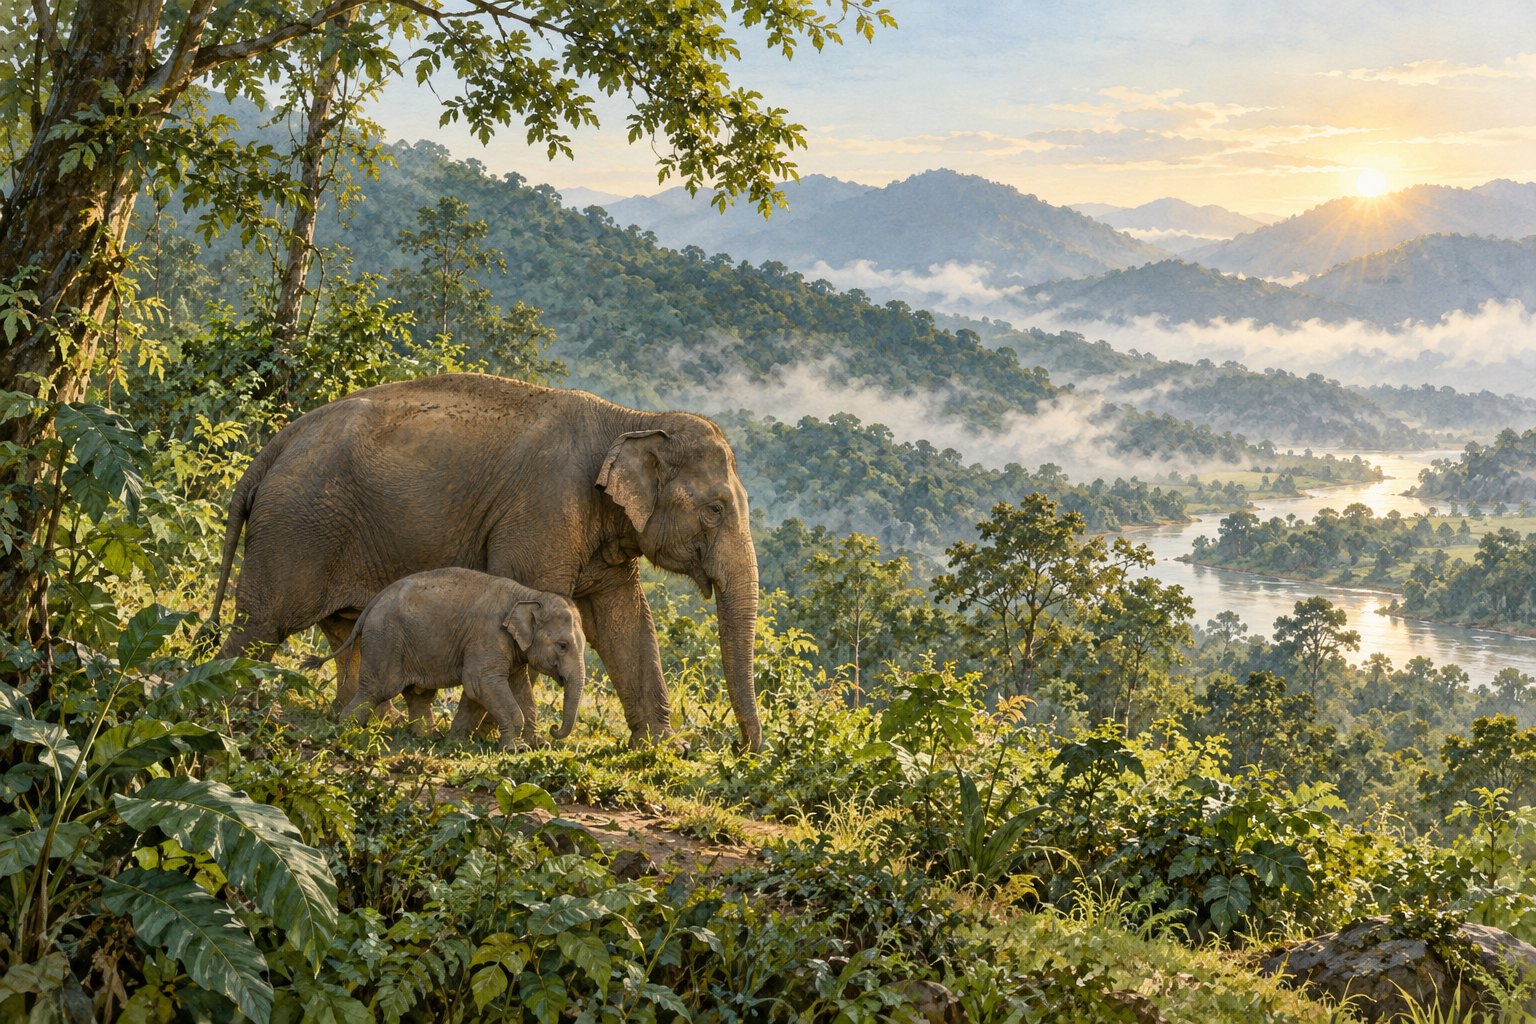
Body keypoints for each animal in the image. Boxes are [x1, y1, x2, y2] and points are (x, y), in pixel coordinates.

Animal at [303, 567, 586, 748]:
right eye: (562, 646)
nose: (554, 729)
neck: (529, 594)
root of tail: (373, 602)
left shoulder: (511, 649)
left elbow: (516, 688)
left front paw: (537, 744)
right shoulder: (487, 636)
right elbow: (480, 683)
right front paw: (516, 749)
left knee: (418, 694)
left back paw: (428, 737)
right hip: (385, 639)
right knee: (377, 689)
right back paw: (346, 729)